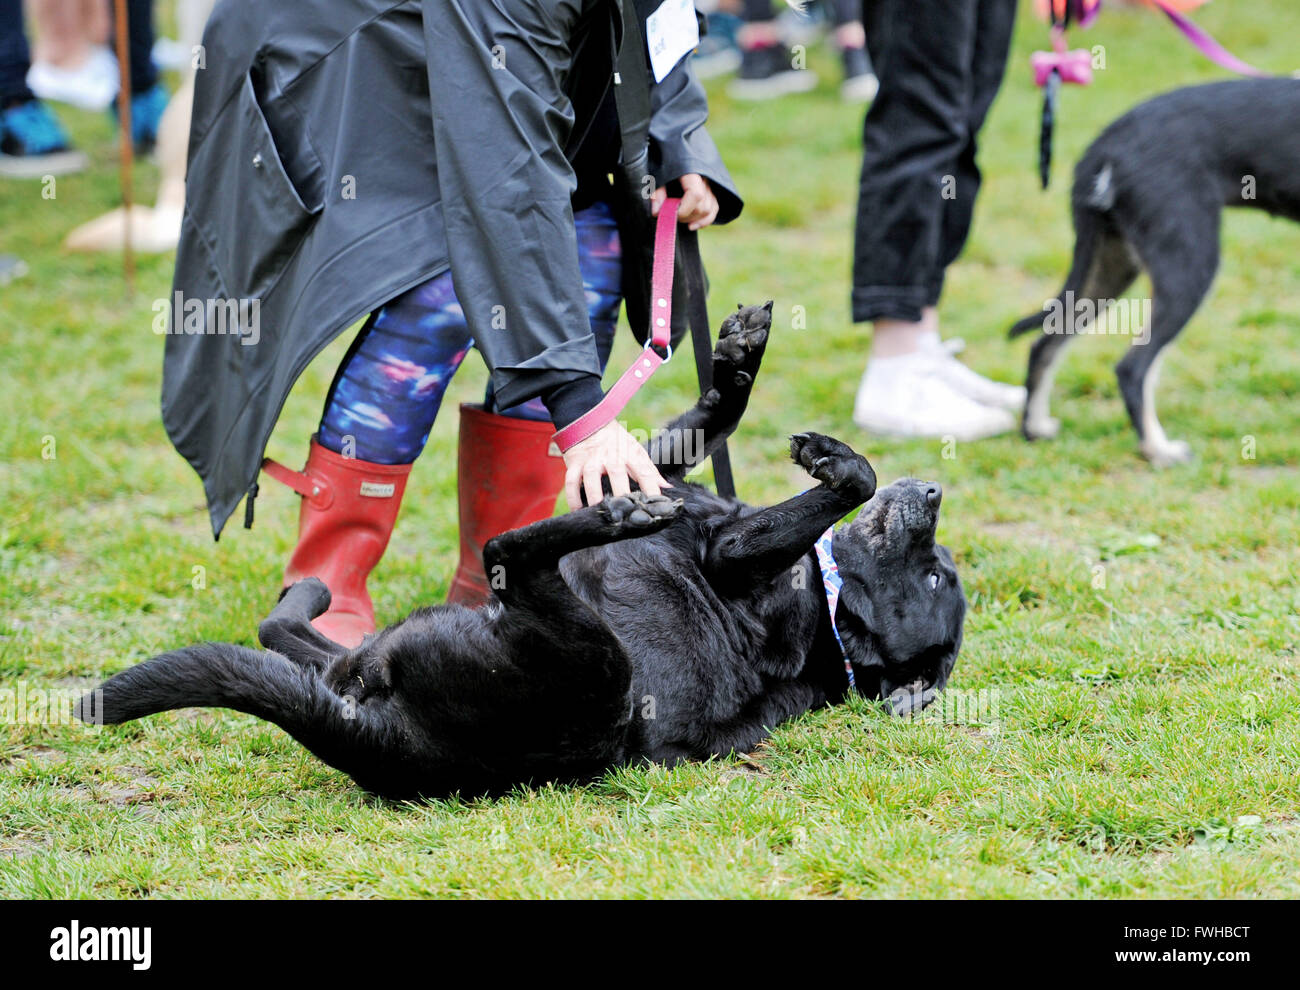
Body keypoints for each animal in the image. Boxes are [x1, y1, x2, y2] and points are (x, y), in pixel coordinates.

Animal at [73, 302, 967, 800]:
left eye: (931, 575)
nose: (933, 494)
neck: (825, 619)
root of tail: (394, 748)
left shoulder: (730, 551)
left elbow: (844, 484)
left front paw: (837, 461)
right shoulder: (665, 469)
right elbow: (699, 419)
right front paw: (741, 354)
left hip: (590, 657)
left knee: (512, 550)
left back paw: (615, 523)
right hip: (376, 646)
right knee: (279, 630)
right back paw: (314, 596)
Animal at [1013, 78, 1300, 465]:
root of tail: (1107, 143)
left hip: (1111, 262)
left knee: (1046, 344)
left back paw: (1035, 427)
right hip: (1189, 262)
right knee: (1133, 367)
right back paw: (1158, 449)